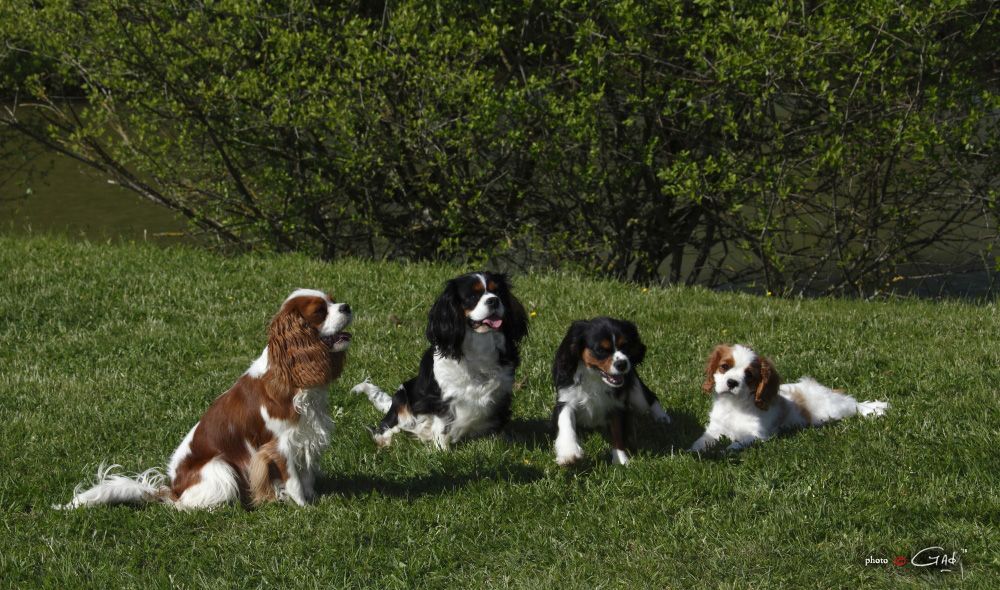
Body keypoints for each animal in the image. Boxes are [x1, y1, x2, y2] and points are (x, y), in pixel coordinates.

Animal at [552, 320, 676, 468]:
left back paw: (662, 417)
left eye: (626, 346)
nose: (622, 364)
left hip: (636, 394)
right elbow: (566, 422)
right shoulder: (566, 398)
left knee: (650, 397)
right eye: (600, 350)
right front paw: (569, 453)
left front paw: (620, 460)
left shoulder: (617, 405)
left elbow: (617, 432)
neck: (595, 377)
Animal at [688, 342, 892, 454]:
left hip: (832, 411)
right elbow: (702, 441)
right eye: (724, 367)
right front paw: (694, 451)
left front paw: (726, 450)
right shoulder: (715, 429)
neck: (734, 404)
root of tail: (822, 388)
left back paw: (873, 409)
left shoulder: (757, 434)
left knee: (854, 404)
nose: (731, 382)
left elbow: (739, 442)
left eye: (749, 375)